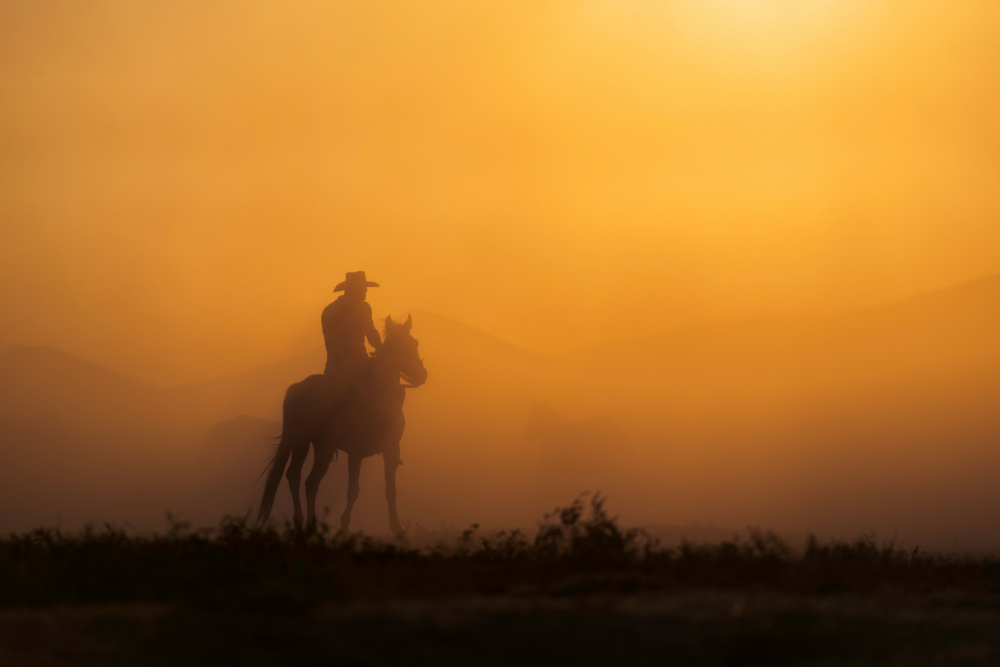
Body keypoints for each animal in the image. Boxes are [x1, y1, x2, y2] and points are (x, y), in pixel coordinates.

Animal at [254, 316, 426, 540]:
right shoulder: (365, 451)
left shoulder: (382, 451)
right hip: (324, 448)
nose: (422, 375)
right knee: (311, 482)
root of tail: (299, 388)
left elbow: (384, 489)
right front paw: (347, 527)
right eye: (401, 346)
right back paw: (312, 525)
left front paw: (394, 527)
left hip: (301, 443)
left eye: (415, 343)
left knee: (294, 476)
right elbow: (358, 490)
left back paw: (300, 523)